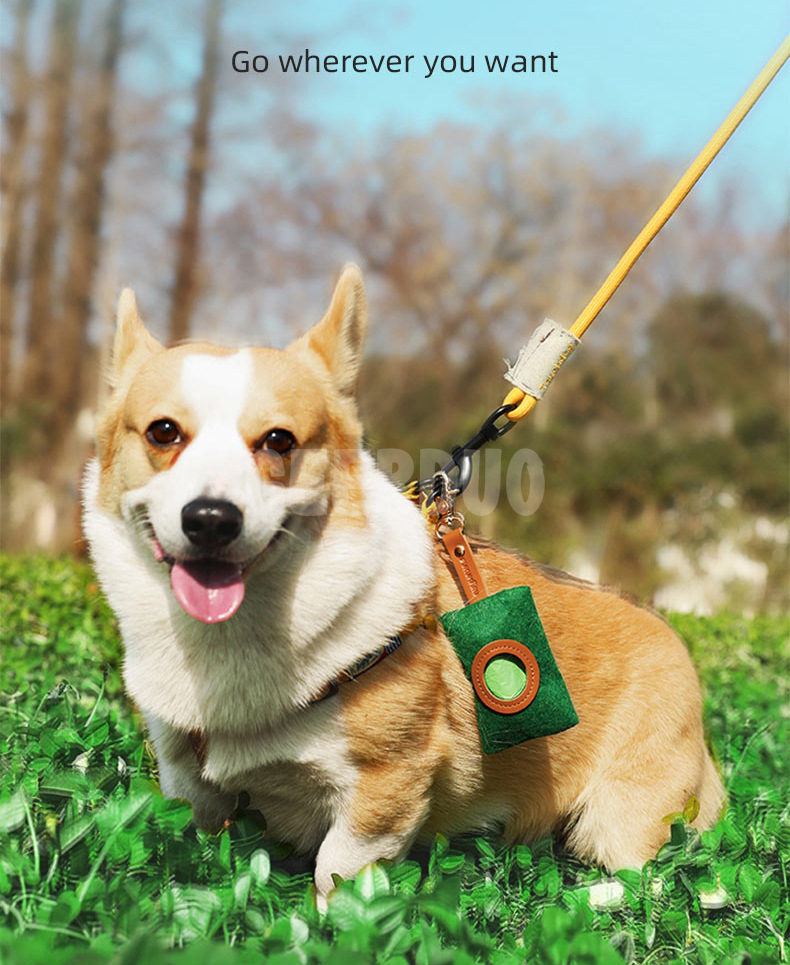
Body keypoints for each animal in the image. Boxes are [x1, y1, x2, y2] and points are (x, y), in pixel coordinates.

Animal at [83, 262, 728, 904]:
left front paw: (330, 920)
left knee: (649, 881)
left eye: (279, 441)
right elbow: (199, 841)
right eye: (163, 433)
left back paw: (577, 900)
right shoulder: (186, 779)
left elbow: (337, 878)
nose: (212, 519)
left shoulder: (381, 791)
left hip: (620, 812)